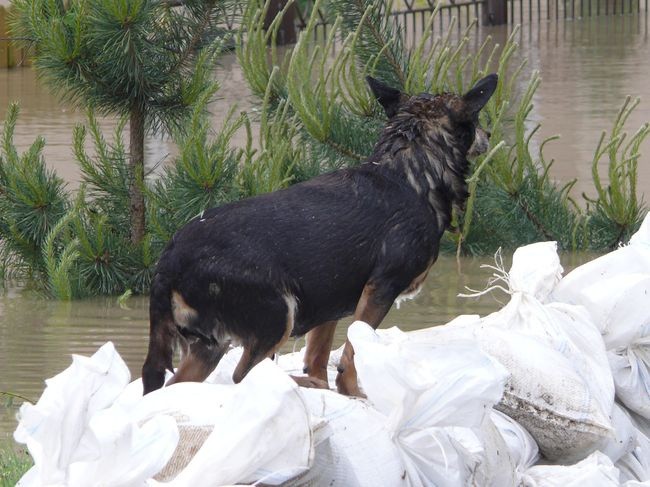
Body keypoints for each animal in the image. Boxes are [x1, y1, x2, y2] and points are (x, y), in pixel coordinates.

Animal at [142, 73, 496, 396]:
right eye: (477, 120)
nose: (489, 133)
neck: (410, 171)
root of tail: (169, 260)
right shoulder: (380, 288)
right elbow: (352, 353)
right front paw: (352, 391)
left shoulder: (332, 300)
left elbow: (318, 354)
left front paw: (326, 385)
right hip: (276, 316)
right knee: (243, 376)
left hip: (208, 345)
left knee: (175, 386)